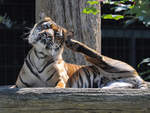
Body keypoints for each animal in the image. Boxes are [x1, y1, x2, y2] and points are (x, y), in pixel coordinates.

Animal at [12, 16, 146, 88]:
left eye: (56, 35)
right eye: (46, 27)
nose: (47, 35)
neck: (40, 57)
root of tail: (139, 77)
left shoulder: (62, 80)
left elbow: (58, 86)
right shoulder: (19, 85)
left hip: (108, 63)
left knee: (99, 57)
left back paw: (73, 44)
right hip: (109, 87)